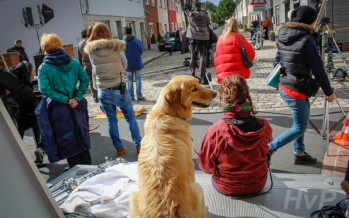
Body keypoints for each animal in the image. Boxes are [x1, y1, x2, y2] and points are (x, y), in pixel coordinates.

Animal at [129, 75, 216, 218]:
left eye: (199, 82)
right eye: (194, 89)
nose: (215, 93)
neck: (166, 113)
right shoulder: (190, 165)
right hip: (198, 188)